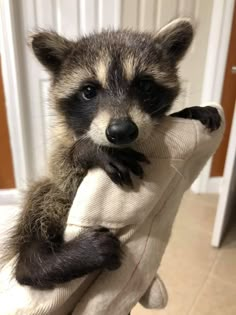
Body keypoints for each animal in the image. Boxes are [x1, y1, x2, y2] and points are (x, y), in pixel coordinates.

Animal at [11, 16, 221, 288]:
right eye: (89, 91)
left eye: (144, 85)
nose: (121, 131)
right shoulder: (60, 148)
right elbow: (62, 171)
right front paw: (89, 150)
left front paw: (187, 110)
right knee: (42, 194)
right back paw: (38, 261)